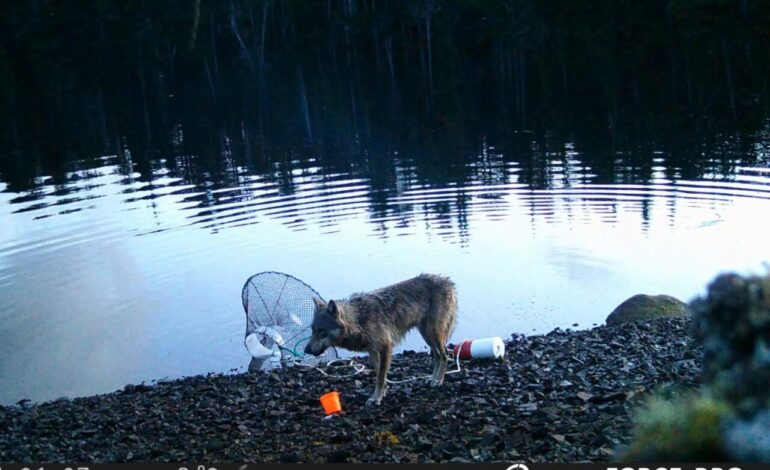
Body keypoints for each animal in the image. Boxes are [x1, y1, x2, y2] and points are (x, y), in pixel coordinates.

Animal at [304, 274, 457, 405]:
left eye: (320, 330)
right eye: (312, 329)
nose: (306, 350)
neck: (358, 320)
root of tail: (447, 281)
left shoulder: (385, 348)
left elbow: (380, 377)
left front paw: (376, 398)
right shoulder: (372, 351)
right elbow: (379, 374)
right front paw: (382, 393)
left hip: (433, 334)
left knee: (445, 355)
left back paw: (438, 380)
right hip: (427, 336)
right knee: (437, 356)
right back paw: (433, 379)